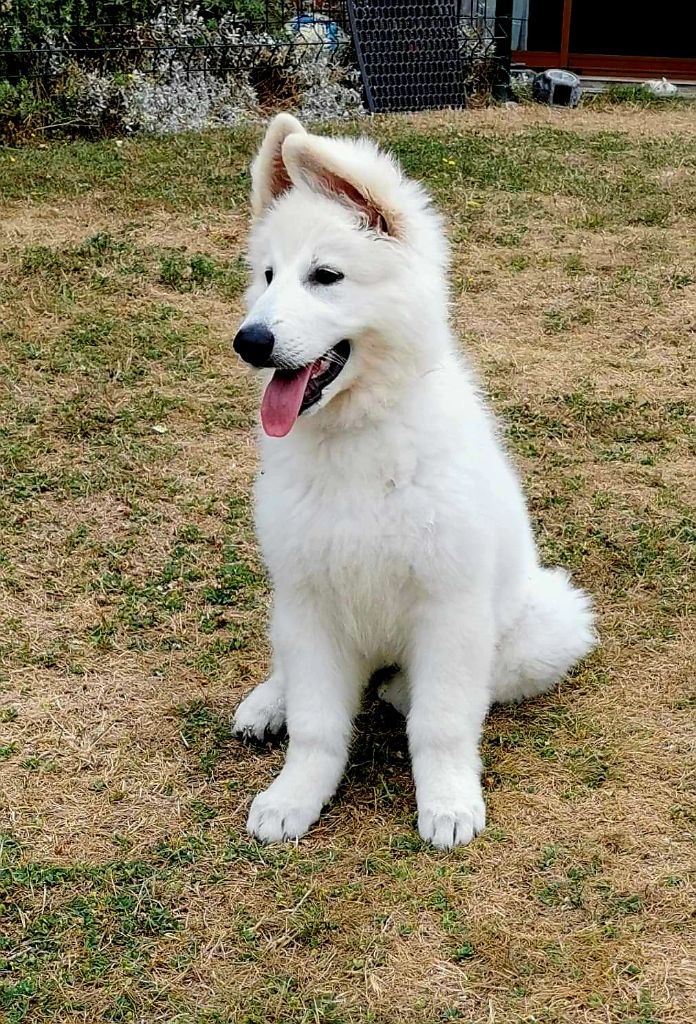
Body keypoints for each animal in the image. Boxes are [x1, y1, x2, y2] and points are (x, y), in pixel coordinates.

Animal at [231, 112, 593, 847]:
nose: (249, 342)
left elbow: (441, 722)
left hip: (549, 622)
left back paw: (394, 689)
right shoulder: (309, 602)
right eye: (269, 275)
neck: (358, 438)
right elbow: (317, 725)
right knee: (292, 670)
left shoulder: (448, 608)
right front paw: (295, 795)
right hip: (286, 611)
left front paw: (448, 802)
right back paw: (268, 700)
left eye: (326, 276)